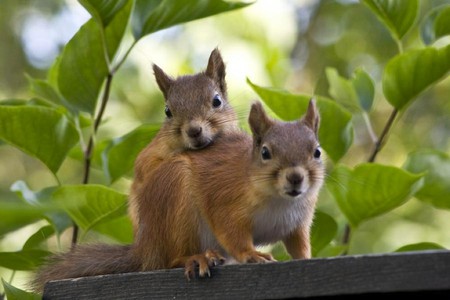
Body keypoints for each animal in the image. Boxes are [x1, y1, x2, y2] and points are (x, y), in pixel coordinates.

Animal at [31, 99, 326, 292]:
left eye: (317, 151)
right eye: (265, 152)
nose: (295, 177)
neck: (280, 200)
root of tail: (146, 248)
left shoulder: (298, 224)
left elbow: (299, 246)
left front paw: (307, 259)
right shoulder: (226, 201)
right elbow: (232, 233)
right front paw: (251, 254)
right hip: (177, 199)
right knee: (171, 259)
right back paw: (195, 258)